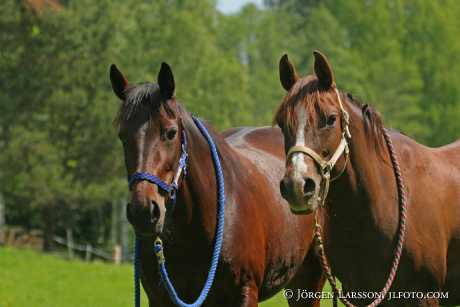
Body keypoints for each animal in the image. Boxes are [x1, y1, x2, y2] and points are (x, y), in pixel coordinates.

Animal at [108, 63, 324, 307]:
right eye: (123, 136)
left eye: (171, 133)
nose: (143, 210)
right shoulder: (159, 298)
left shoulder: (245, 293)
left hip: (310, 279)